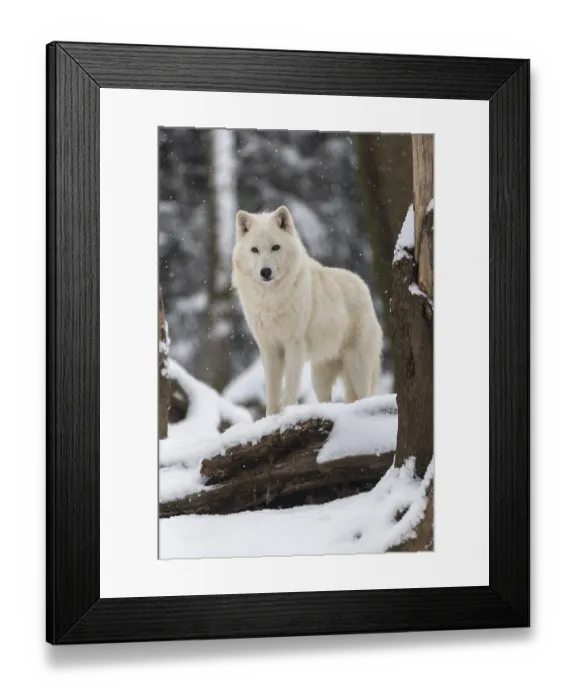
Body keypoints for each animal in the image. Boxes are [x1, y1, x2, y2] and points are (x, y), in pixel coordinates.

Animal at [231, 205, 384, 416]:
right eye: (254, 250)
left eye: (275, 247)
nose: (265, 272)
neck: (271, 301)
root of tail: (363, 285)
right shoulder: (269, 349)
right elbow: (272, 393)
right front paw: (270, 418)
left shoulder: (294, 345)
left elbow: (289, 389)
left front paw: (287, 413)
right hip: (319, 377)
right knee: (327, 400)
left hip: (358, 369)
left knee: (365, 396)